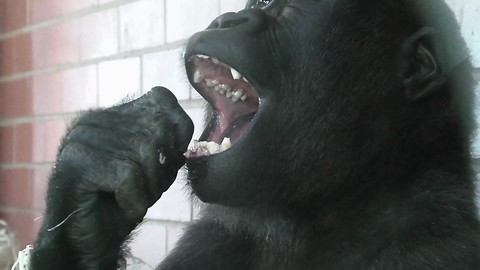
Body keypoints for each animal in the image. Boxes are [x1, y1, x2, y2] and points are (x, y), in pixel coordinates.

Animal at [31, 0, 480, 268]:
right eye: (257, 4)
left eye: (290, 11)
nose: (226, 19)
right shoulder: (211, 238)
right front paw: (91, 178)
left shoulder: (432, 247)